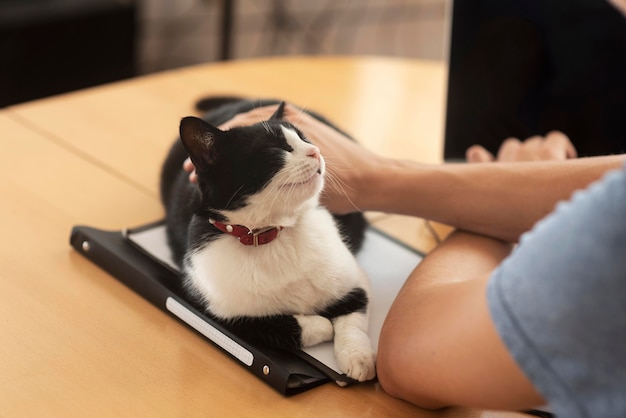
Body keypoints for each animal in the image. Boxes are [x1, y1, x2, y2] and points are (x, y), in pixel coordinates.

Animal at [161, 99, 376, 382]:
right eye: (275, 148)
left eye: (304, 137)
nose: (316, 151)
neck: (274, 233)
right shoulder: (216, 307)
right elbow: (275, 325)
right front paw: (319, 324)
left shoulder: (354, 279)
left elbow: (353, 316)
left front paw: (358, 357)